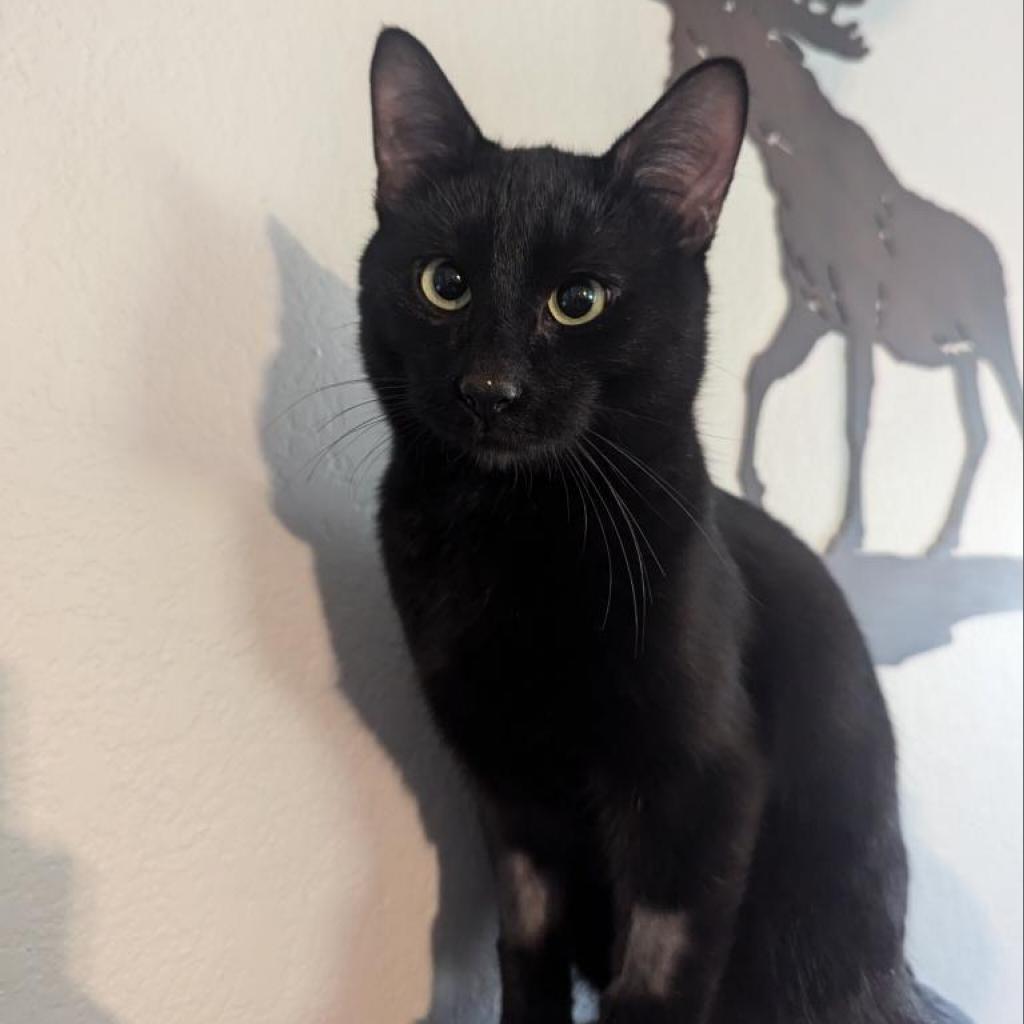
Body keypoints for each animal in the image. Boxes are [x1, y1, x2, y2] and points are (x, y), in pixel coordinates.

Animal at [354, 25, 966, 1024]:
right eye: (444, 284)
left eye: (580, 300)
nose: (490, 388)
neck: (511, 534)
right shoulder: (508, 793)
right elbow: (525, 947)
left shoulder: (703, 789)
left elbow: (657, 978)